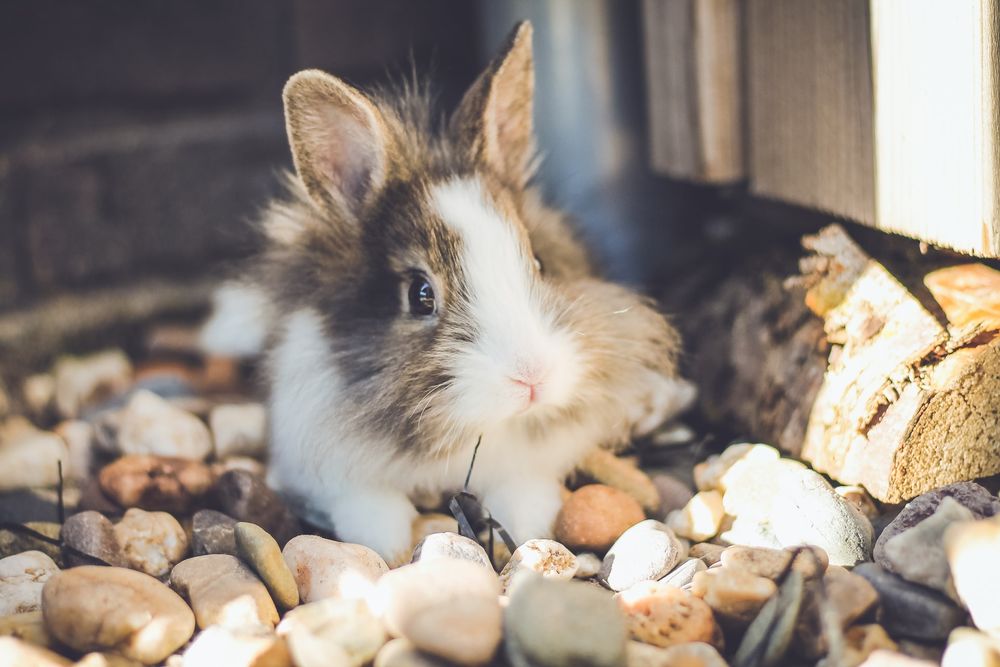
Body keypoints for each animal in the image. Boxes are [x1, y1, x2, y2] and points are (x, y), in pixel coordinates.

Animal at [200, 21, 691, 564]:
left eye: (539, 264)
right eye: (420, 294)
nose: (532, 378)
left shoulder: (528, 465)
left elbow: (525, 497)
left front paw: (531, 535)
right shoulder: (324, 462)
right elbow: (369, 507)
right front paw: (388, 552)